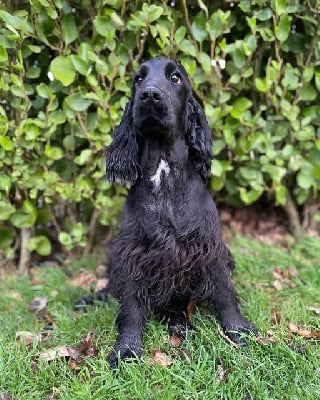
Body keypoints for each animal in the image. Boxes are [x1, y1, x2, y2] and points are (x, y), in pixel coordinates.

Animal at [74, 57, 255, 368]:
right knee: (113, 290)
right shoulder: (132, 254)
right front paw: (126, 348)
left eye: (175, 77)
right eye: (138, 79)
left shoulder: (210, 248)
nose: (149, 95)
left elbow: (225, 292)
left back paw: (181, 325)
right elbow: (131, 307)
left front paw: (238, 329)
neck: (164, 169)